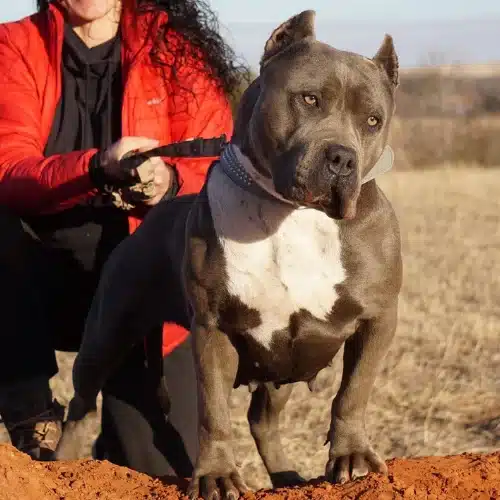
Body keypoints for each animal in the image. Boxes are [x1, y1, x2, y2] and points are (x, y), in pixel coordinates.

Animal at [56, 10, 404, 500]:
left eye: (373, 120)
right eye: (309, 99)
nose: (342, 158)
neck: (292, 213)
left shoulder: (378, 318)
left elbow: (352, 393)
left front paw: (351, 456)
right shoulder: (213, 326)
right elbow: (214, 410)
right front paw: (217, 476)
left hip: (283, 363)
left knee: (262, 420)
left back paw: (288, 478)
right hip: (105, 336)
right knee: (80, 405)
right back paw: (58, 464)